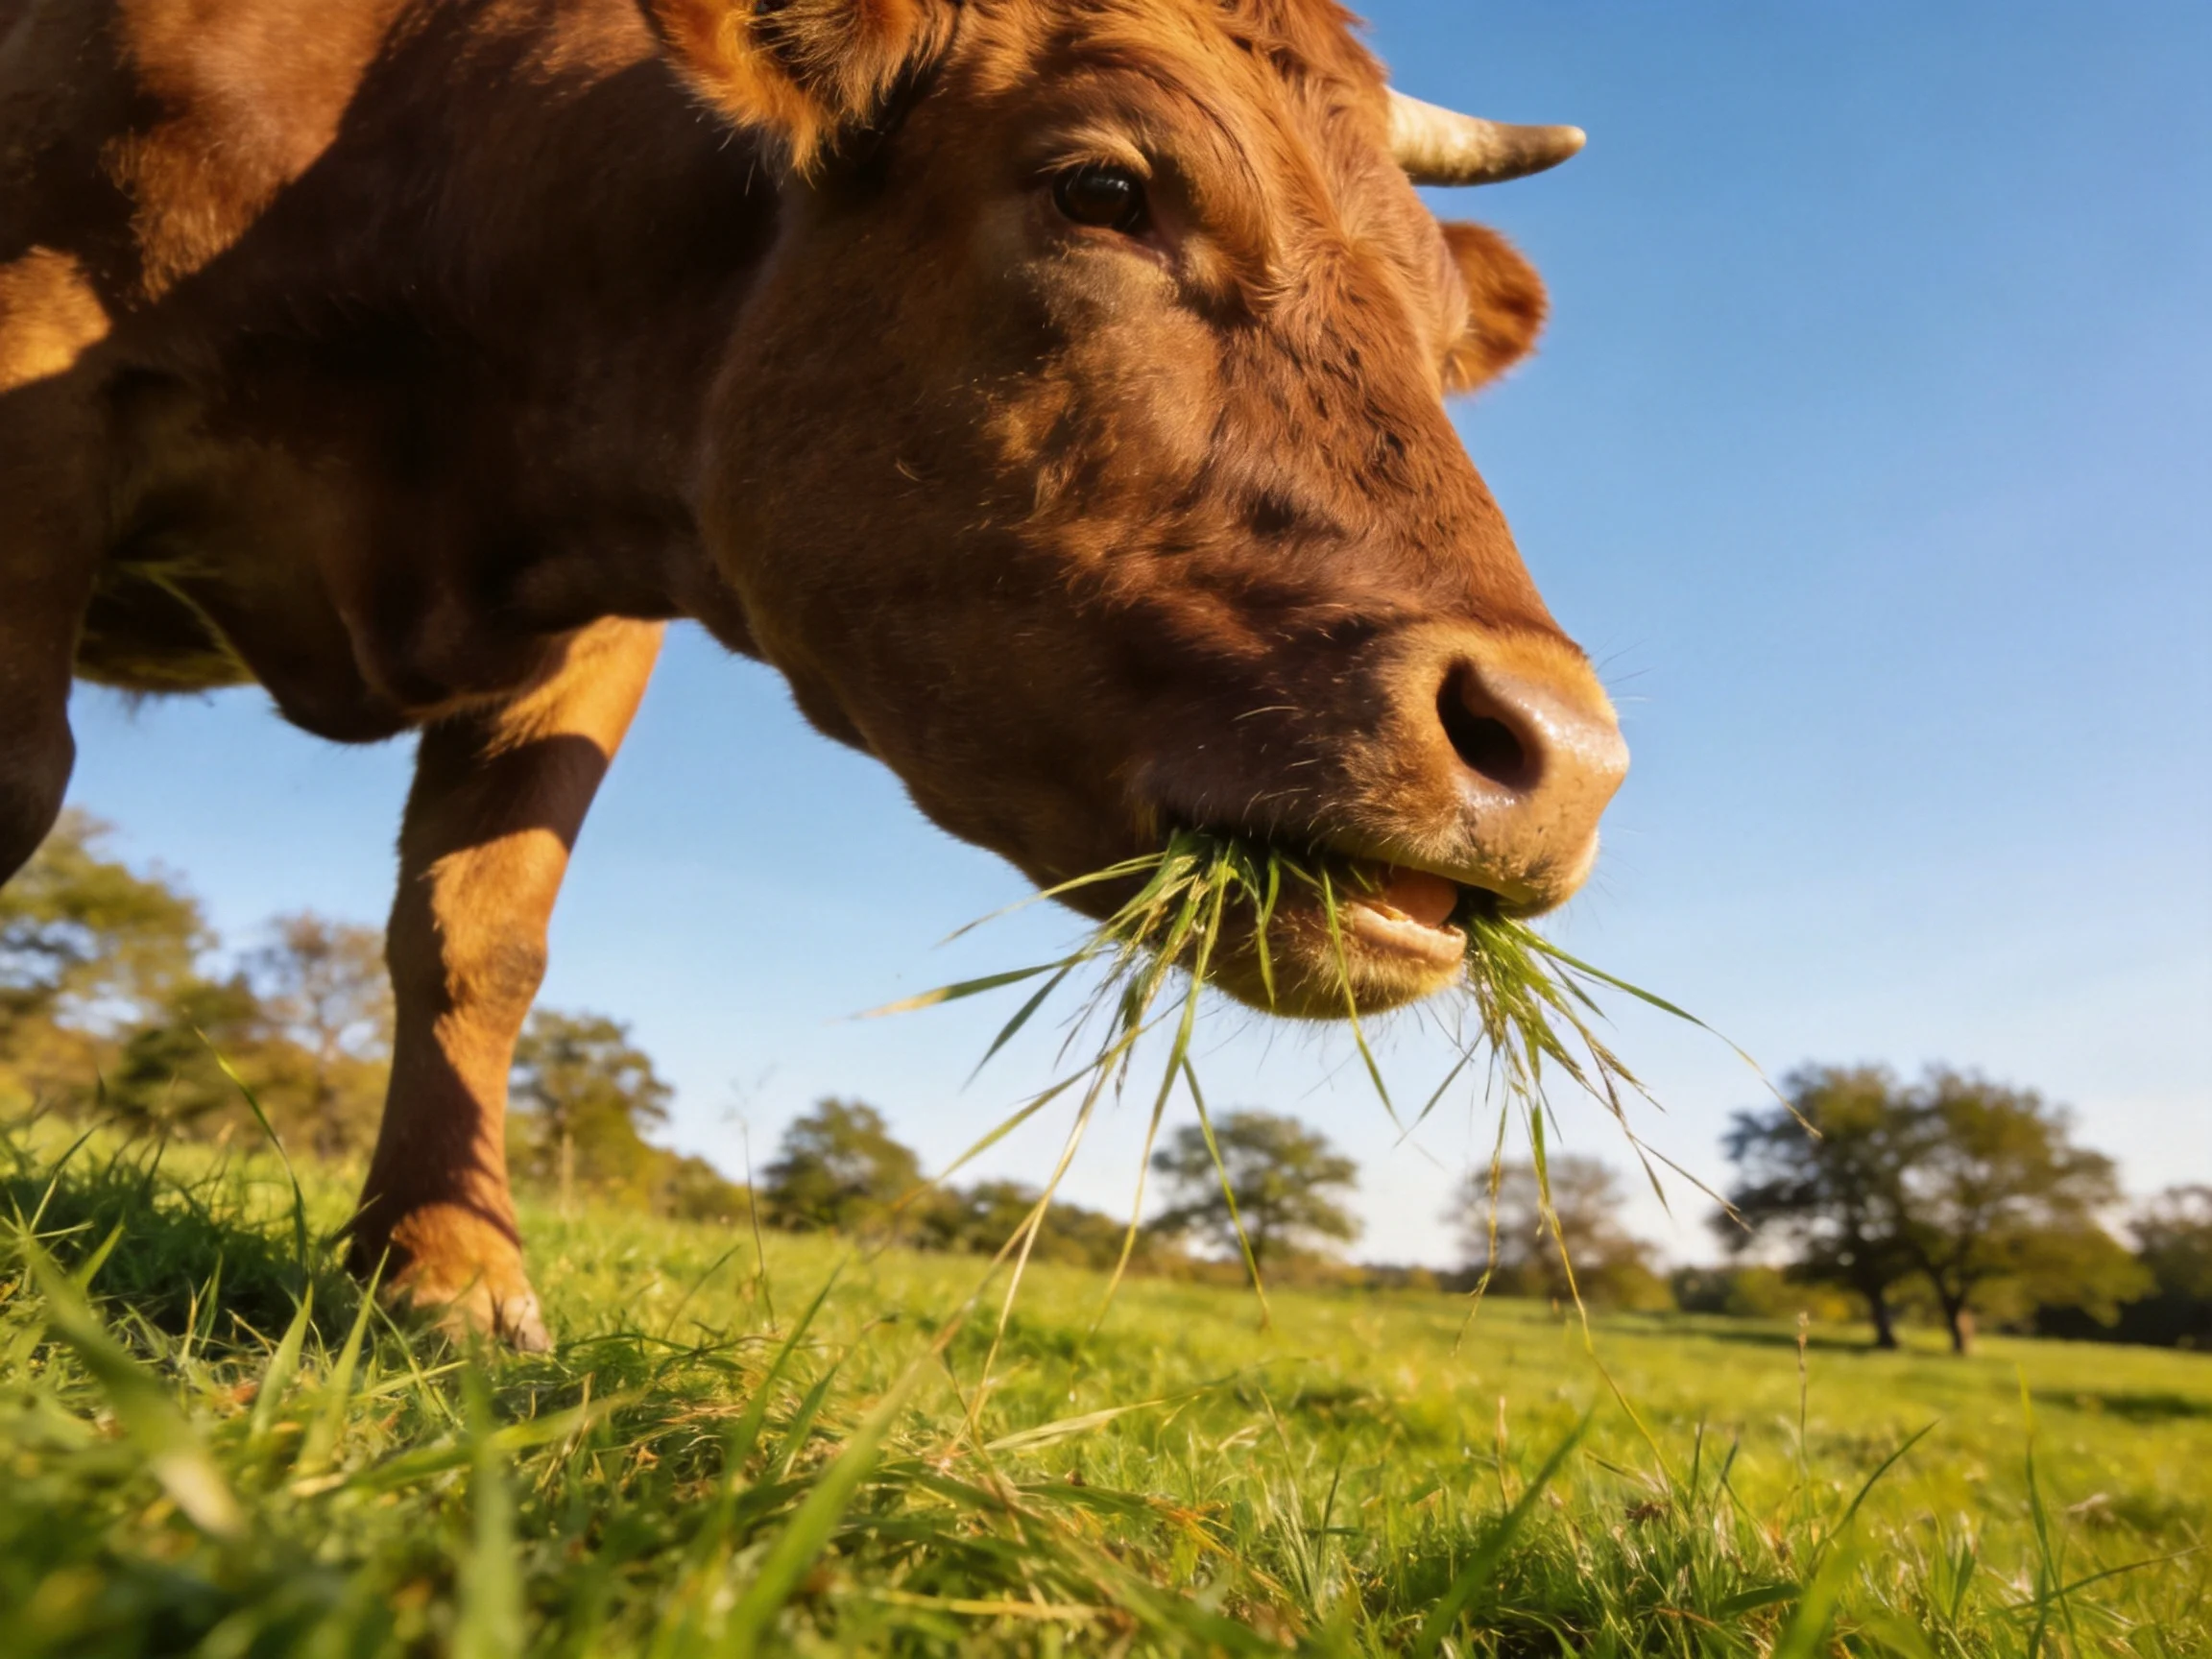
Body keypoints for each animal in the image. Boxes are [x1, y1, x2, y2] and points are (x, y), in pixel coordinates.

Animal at [0, 0, 1628, 1346]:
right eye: (1103, 191)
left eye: (1441, 326)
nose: (1565, 753)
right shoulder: (46, 371)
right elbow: (26, 791)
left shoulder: (600, 619)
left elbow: (480, 933)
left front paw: (448, 1272)